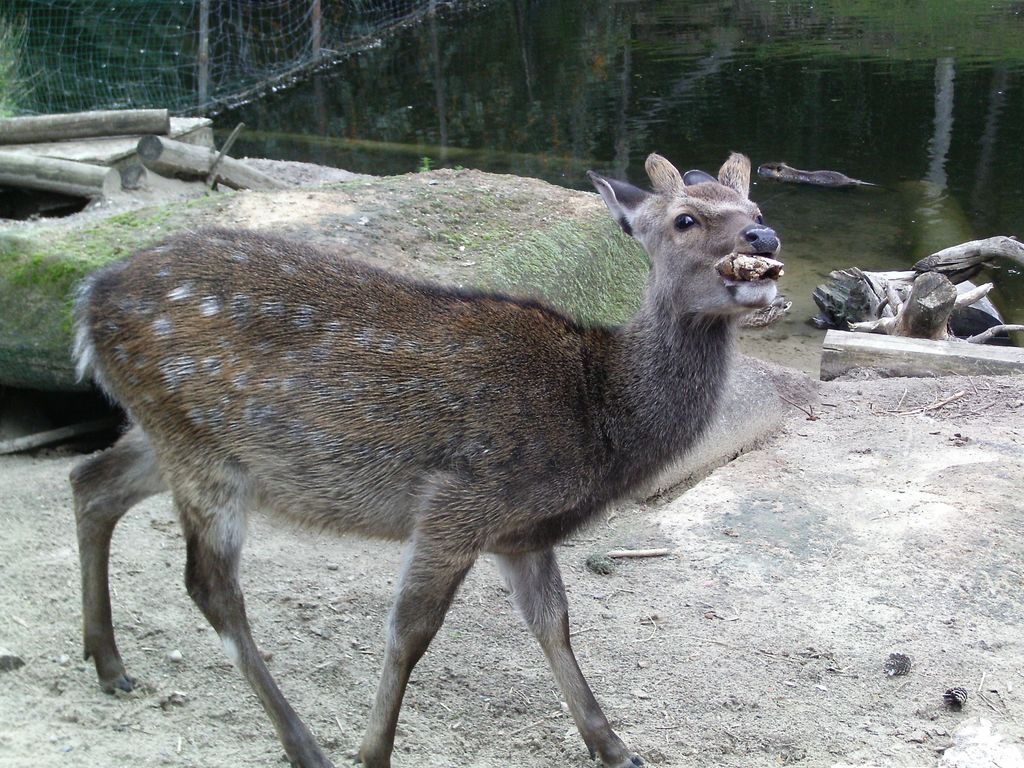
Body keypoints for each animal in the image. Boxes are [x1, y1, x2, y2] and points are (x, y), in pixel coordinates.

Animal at [72, 151, 782, 768]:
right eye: (685, 219)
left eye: (754, 203)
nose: (766, 236)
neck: (598, 411)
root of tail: (87, 302)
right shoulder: (459, 500)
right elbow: (411, 630)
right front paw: (372, 754)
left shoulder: (522, 532)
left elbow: (554, 624)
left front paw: (617, 750)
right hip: (199, 450)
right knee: (210, 585)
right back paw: (304, 746)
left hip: (171, 434)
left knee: (90, 480)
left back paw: (109, 665)